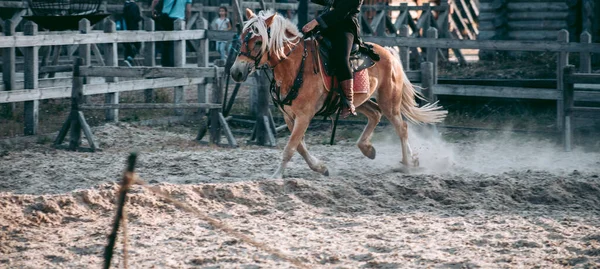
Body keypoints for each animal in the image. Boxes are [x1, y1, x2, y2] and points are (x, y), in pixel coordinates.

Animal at [232, 9, 448, 178]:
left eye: (258, 42)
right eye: (242, 38)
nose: (236, 72)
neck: (295, 64)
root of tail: (390, 53)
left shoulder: (304, 116)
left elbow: (291, 147)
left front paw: (276, 176)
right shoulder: (289, 117)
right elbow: (300, 146)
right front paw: (321, 167)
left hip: (389, 102)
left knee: (401, 127)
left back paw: (407, 163)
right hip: (361, 102)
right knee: (375, 115)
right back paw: (372, 150)